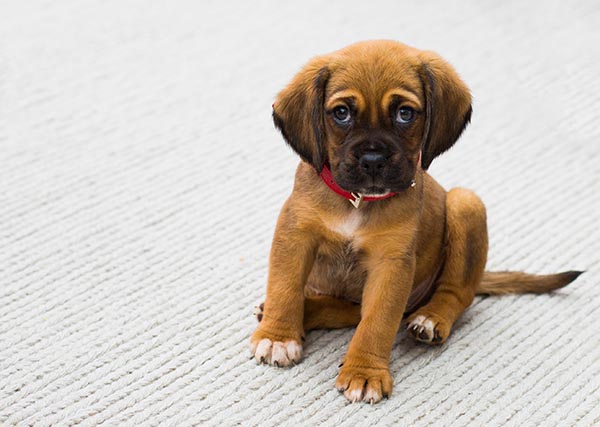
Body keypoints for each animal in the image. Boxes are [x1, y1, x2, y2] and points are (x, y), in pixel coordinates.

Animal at [248, 41, 580, 404]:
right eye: (342, 113)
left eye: (404, 113)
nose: (373, 160)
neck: (357, 202)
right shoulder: (295, 236)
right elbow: (285, 288)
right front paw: (278, 336)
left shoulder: (391, 265)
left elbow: (377, 322)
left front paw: (365, 372)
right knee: (347, 310)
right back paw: (301, 311)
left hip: (466, 203)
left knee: (456, 294)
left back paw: (431, 319)